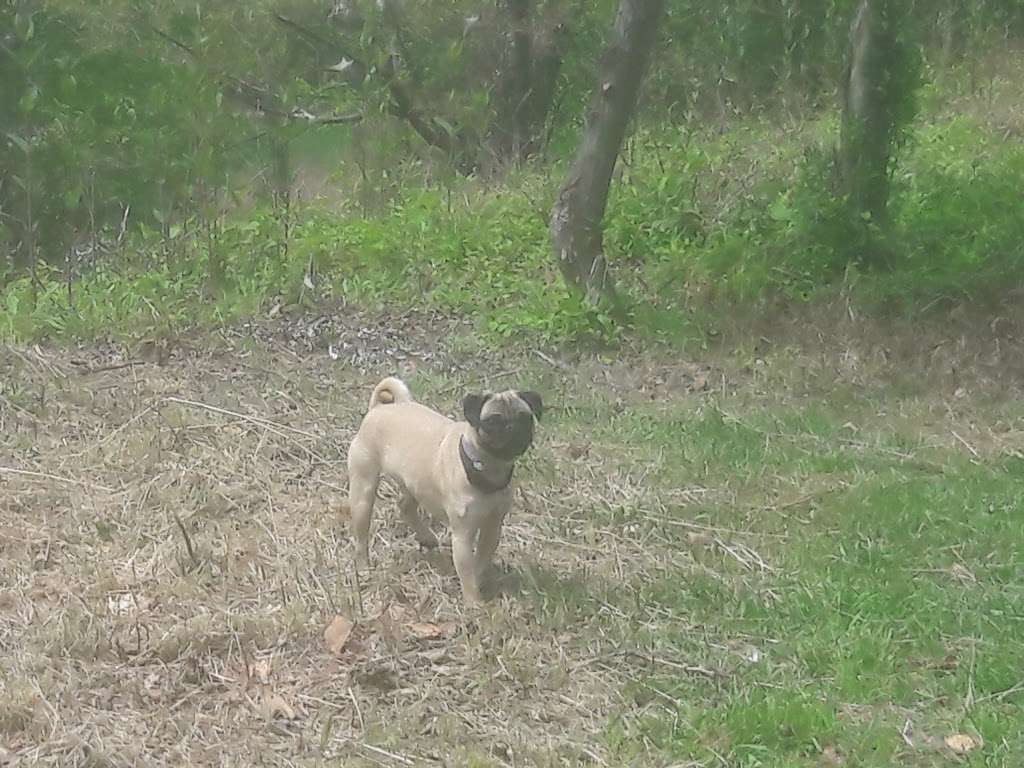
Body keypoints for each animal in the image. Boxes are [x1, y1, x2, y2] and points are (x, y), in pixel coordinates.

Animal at [346, 378, 544, 606]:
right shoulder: (462, 536)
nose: (513, 428)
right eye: (493, 421)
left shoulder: (492, 528)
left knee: (405, 506)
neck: (485, 467)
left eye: (525, 418)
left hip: (414, 482)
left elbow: (480, 561)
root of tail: (379, 409)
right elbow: (467, 571)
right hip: (363, 492)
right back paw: (364, 568)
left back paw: (427, 537)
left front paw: (479, 583)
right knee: (361, 537)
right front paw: (474, 603)